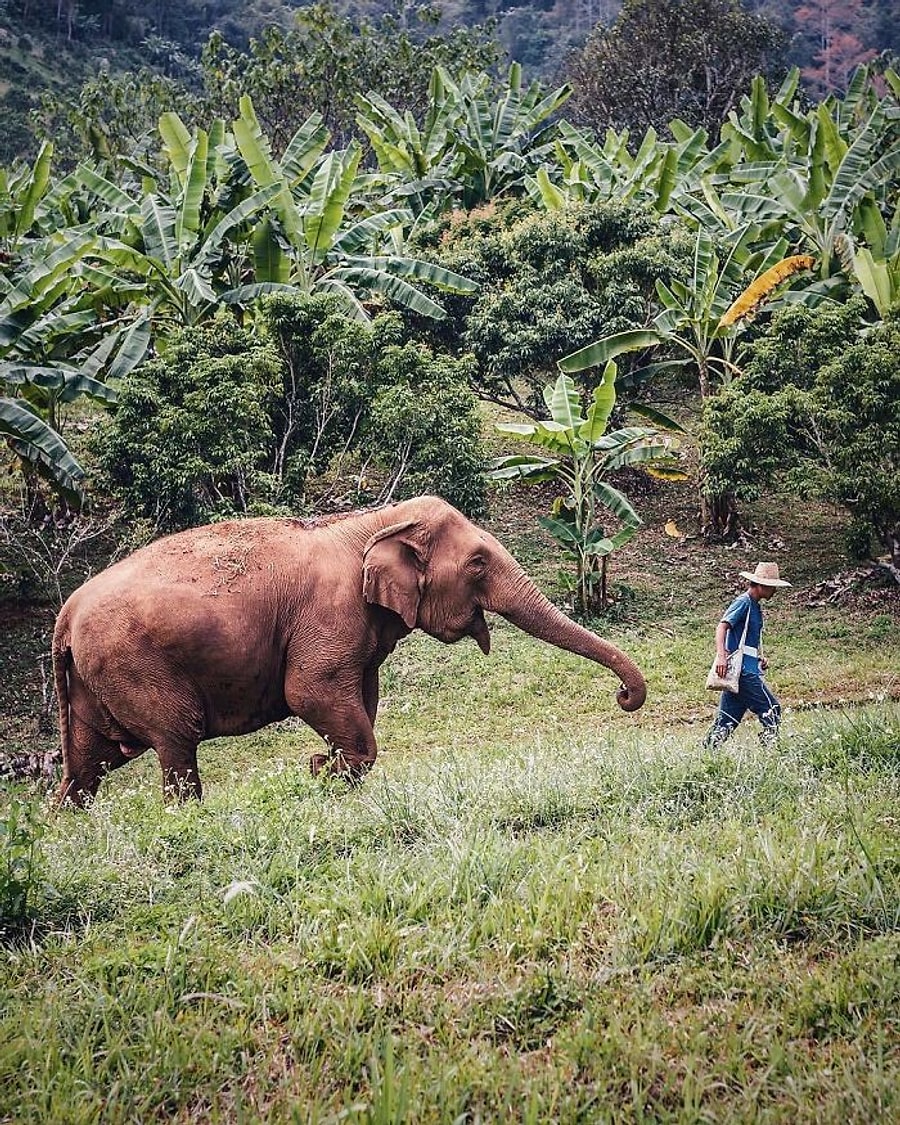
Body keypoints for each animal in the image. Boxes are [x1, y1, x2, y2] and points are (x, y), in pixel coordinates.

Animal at [52, 497, 643, 805]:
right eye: (478, 562)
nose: (624, 697)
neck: (372, 520)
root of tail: (64, 616)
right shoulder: (329, 613)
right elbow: (310, 691)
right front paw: (319, 769)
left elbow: (364, 694)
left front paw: (325, 769)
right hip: (136, 668)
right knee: (175, 741)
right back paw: (189, 815)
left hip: (92, 684)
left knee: (89, 763)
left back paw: (66, 820)